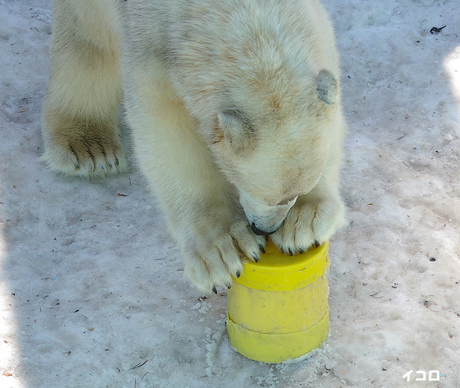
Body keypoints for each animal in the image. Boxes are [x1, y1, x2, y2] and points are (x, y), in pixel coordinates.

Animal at [42, 0, 344, 292]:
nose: (265, 229)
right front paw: (223, 251)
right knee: (87, 38)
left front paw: (305, 221)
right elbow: (169, 137)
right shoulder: (152, 48)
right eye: (272, 199)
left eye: (293, 195)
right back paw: (89, 148)